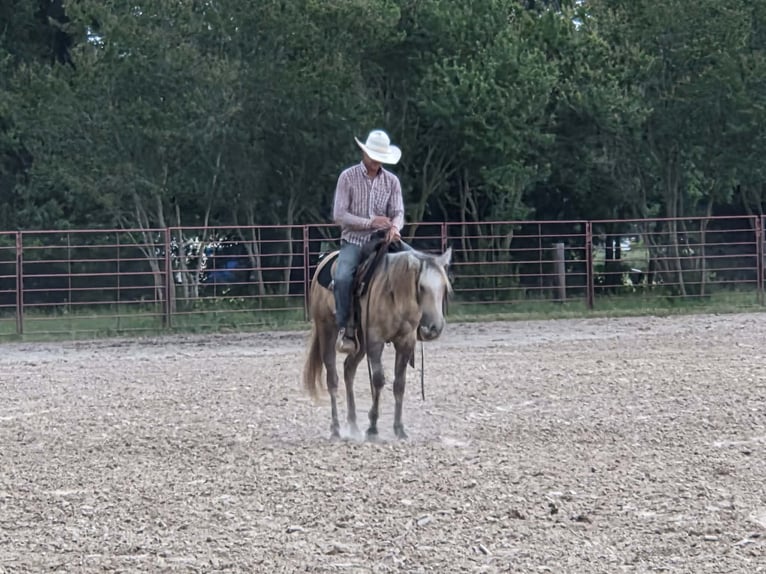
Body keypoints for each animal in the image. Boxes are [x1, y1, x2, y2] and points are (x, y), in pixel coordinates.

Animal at [302, 242, 453, 440]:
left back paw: (353, 425)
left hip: (360, 341)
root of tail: (324, 261)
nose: (435, 328)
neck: (395, 294)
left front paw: (399, 429)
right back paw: (335, 428)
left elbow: (399, 384)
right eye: (421, 287)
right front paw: (372, 427)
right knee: (332, 377)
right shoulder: (375, 340)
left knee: (348, 369)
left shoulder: (405, 342)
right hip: (326, 329)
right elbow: (378, 380)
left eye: (444, 287)